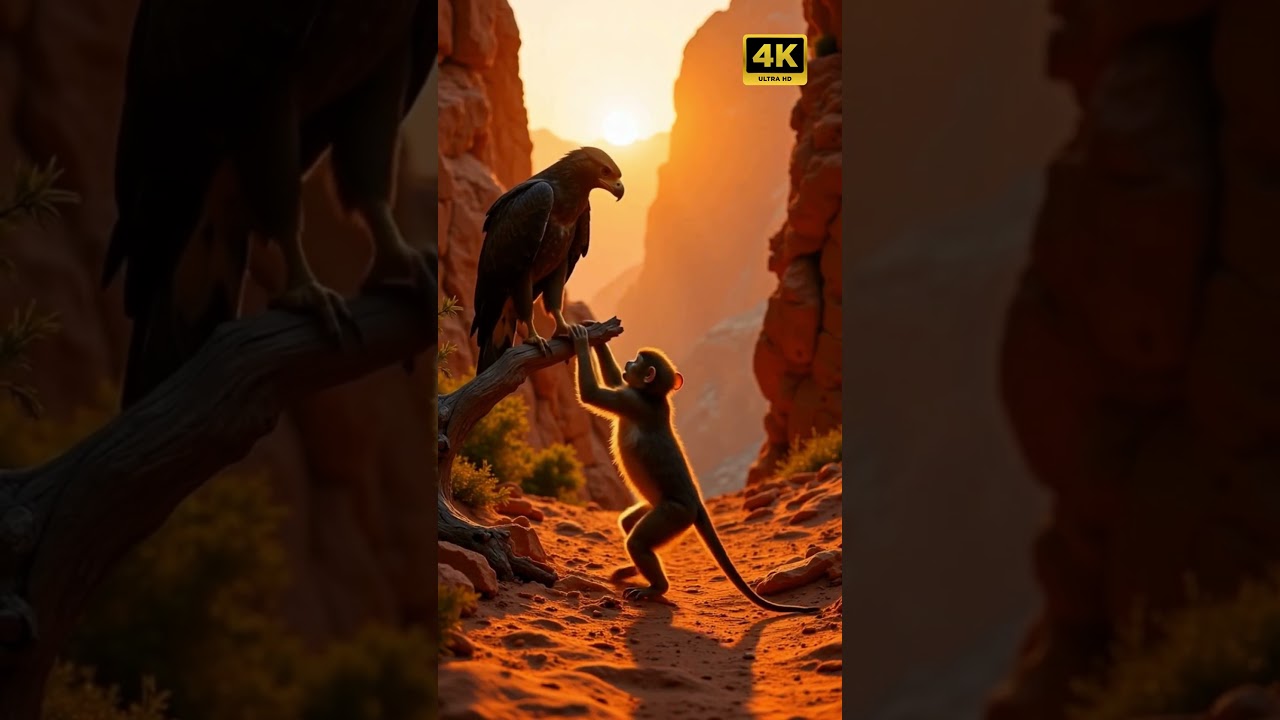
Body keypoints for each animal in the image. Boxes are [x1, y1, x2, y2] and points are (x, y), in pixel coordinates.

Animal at [568, 323, 821, 614]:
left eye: (637, 361)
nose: (629, 363)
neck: (653, 397)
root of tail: (696, 502)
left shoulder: (633, 402)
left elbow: (593, 394)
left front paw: (581, 339)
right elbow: (612, 380)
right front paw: (598, 334)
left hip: (676, 513)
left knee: (638, 541)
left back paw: (656, 587)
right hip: (664, 509)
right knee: (629, 523)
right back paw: (633, 570)